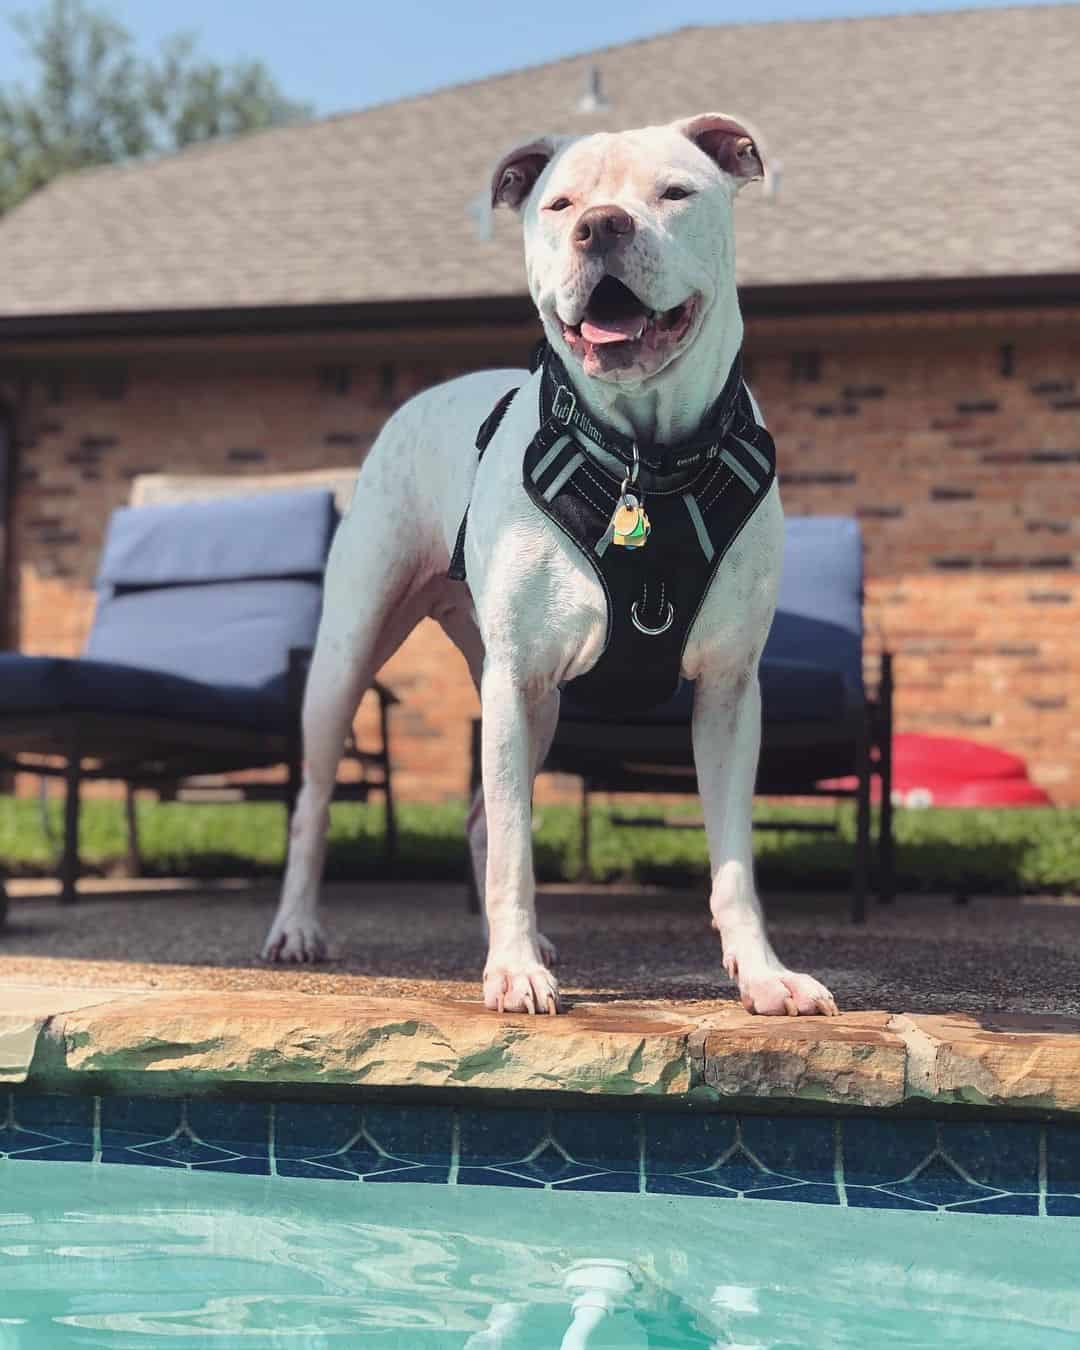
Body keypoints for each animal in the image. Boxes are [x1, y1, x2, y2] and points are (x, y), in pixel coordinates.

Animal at [259, 116, 837, 1015]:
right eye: (560, 203)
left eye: (676, 192)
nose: (601, 225)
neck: (645, 453)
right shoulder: (516, 680)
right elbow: (514, 849)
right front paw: (514, 969)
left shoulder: (730, 693)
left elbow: (733, 861)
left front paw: (764, 973)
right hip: (353, 660)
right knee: (318, 802)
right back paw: (299, 928)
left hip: (537, 705)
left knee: (478, 819)